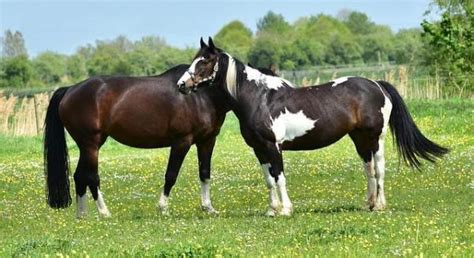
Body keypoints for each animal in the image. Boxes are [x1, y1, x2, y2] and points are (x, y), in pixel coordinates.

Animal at [44, 39, 278, 219]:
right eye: (199, 60)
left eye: (205, 61)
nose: (183, 85)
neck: (202, 97)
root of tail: (70, 90)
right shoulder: (182, 142)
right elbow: (171, 175)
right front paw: (163, 208)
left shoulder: (207, 141)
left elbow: (204, 173)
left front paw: (208, 208)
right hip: (91, 144)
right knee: (92, 177)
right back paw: (104, 212)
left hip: (88, 146)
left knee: (79, 176)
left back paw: (82, 215)